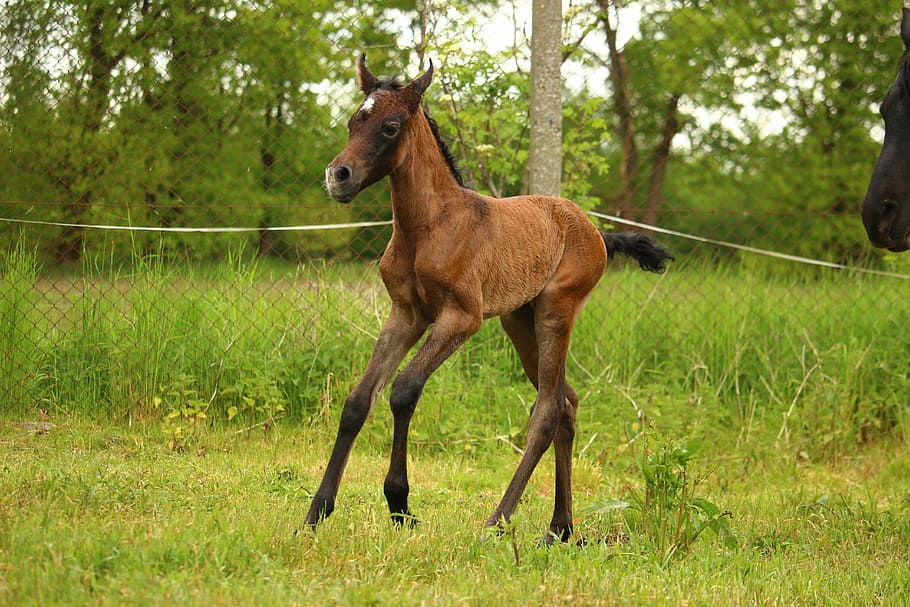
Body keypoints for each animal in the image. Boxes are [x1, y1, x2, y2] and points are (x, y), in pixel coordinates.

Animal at [307, 54, 674, 543]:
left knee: (548, 410)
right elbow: (358, 400)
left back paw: (498, 521)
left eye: (390, 126)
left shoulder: (462, 317)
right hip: (519, 321)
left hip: (557, 311)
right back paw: (559, 528)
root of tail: (596, 230)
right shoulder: (406, 314)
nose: (338, 177)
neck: (429, 227)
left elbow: (404, 390)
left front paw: (400, 504)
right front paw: (318, 510)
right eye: (353, 120)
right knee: (567, 402)